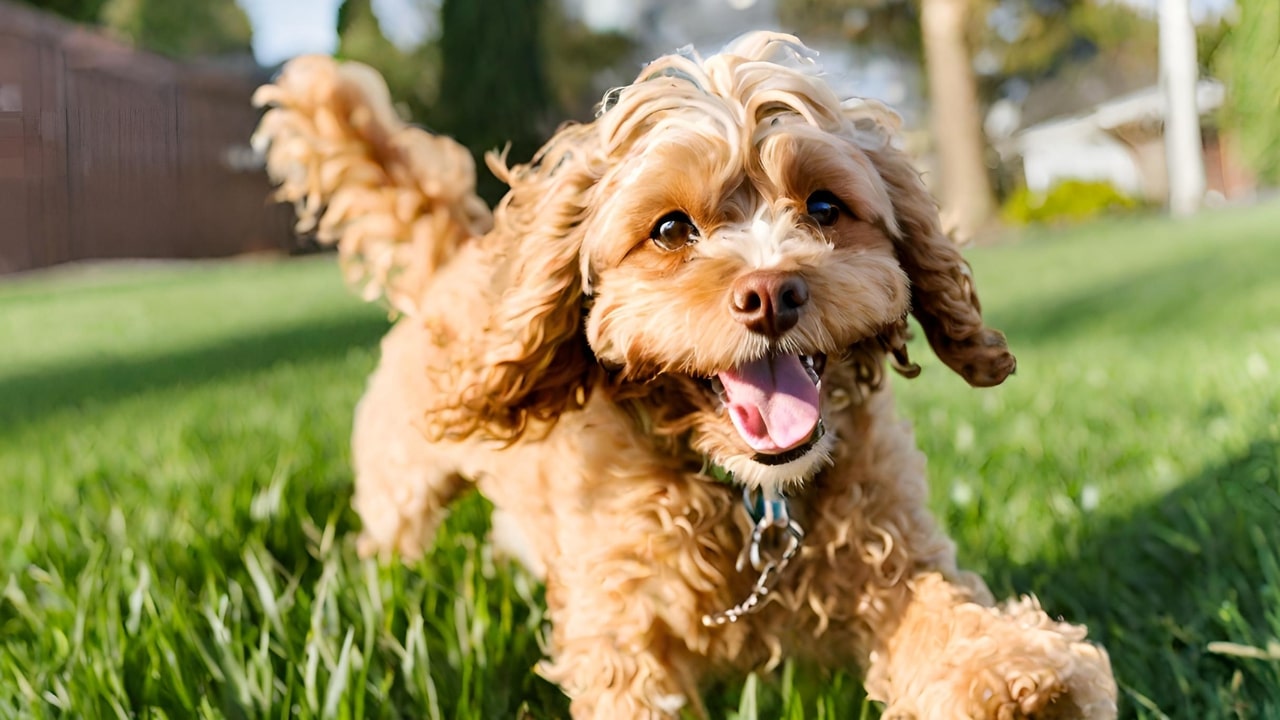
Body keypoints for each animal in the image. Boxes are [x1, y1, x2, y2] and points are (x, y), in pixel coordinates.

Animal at [249, 30, 1111, 712]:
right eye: (670, 229)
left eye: (824, 208)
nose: (770, 293)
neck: (753, 496)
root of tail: (456, 251)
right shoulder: (623, 632)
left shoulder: (891, 551)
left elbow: (944, 614)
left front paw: (1024, 678)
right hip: (401, 488)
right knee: (388, 543)